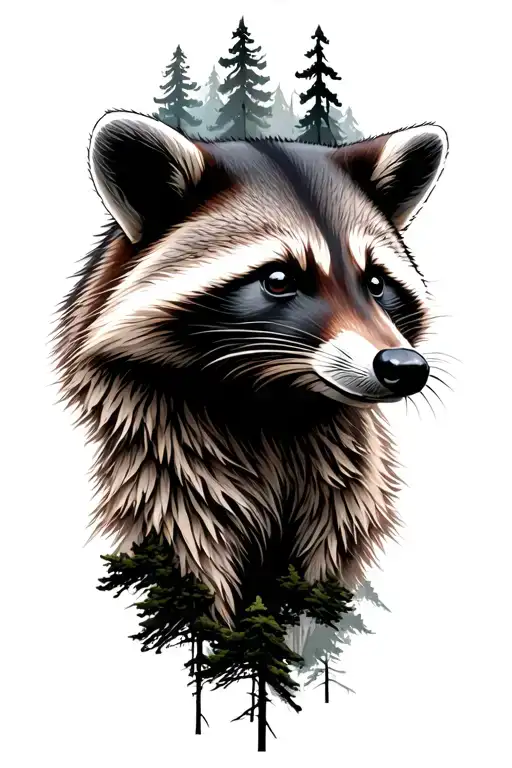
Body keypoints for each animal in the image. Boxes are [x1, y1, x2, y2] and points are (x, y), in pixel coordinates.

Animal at [54, 111, 448, 625]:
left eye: (377, 283)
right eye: (279, 279)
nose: (404, 366)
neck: (272, 405)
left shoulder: (344, 483)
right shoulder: (166, 467)